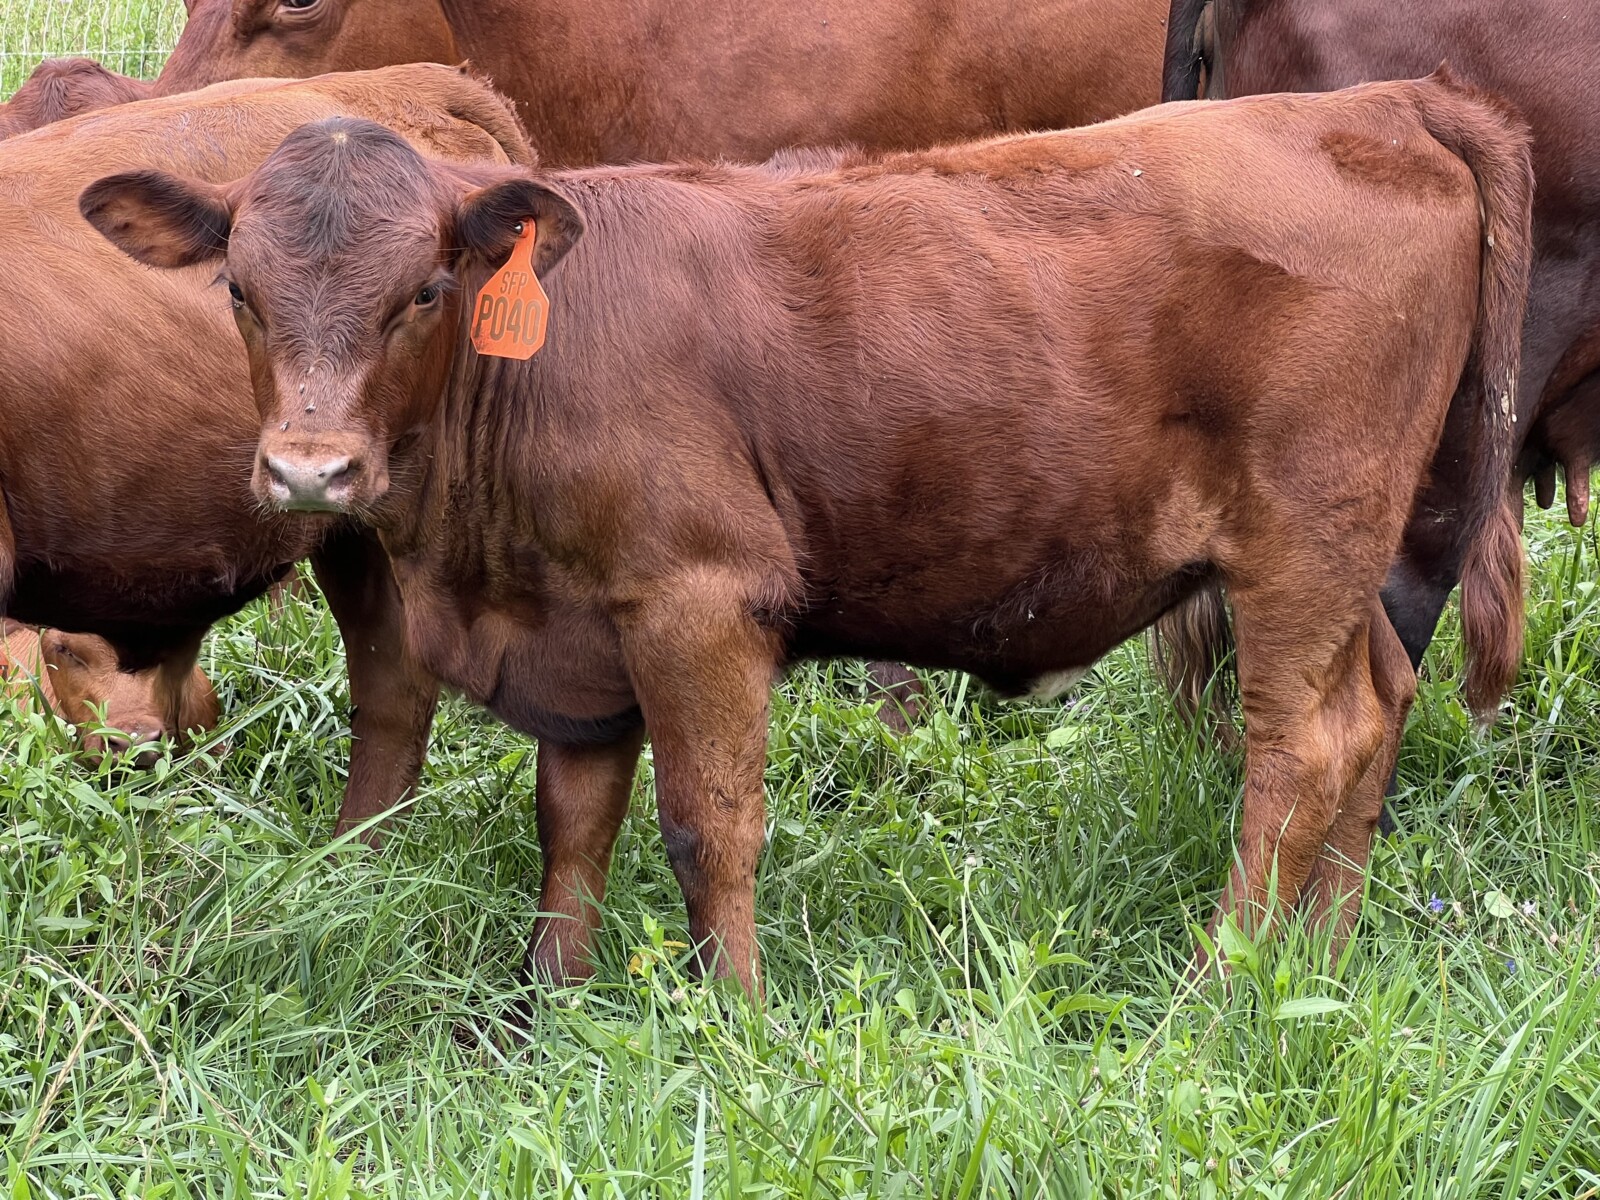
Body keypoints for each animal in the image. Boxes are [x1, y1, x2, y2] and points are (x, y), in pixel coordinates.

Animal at [84, 76, 1532, 994]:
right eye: (238, 289)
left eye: (426, 290)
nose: (309, 467)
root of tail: (1379, 101)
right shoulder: (583, 633)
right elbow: (574, 824)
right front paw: (542, 1007)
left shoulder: (699, 600)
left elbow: (706, 824)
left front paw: (731, 1018)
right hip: (1351, 560)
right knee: (1376, 710)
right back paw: (1320, 962)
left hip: (1302, 537)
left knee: (1301, 749)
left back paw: (1217, 986)